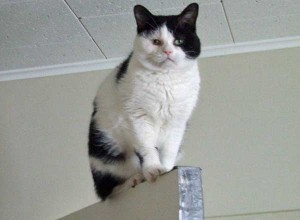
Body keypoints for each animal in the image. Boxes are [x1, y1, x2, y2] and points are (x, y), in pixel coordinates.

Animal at [89, 2, 202, 201]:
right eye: (156, 41)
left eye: (179, 41)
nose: (168, 51)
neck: (166, 79)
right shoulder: (137, 117)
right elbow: (147, 147)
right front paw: (153, 170)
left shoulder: (178, 121)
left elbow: (170, 148)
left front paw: (166, 169)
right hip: (104, 150)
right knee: (107, 191)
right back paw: (133, 180)